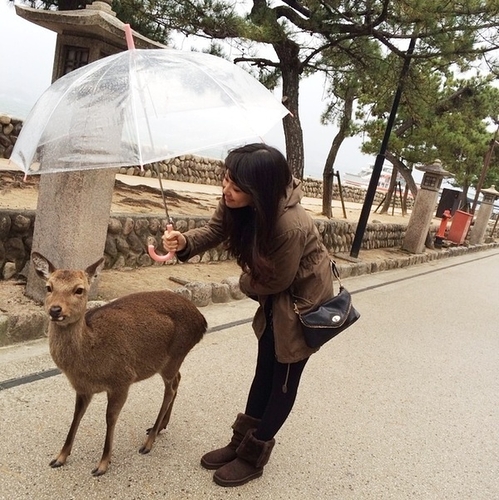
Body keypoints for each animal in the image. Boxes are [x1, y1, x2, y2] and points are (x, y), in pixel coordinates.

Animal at [31, 254, 208, 476]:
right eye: (49, 287)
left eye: (79, 289)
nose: (55, 310)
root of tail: (203, 321)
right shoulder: (83, 388)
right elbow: (76, 416)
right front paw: (59, 457)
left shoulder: (122, 380)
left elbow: (110, 418)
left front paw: (102, 464)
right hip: (167, 362)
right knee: (178, 379)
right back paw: (160, 427)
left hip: (176, 354)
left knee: (171, 388)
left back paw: (148, 442)